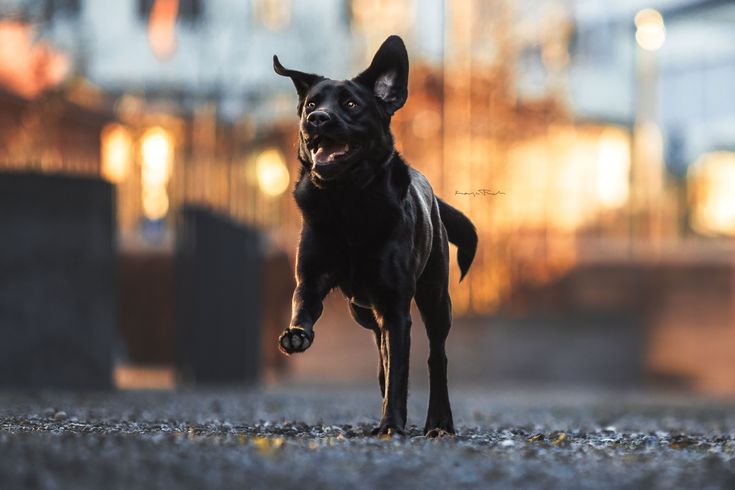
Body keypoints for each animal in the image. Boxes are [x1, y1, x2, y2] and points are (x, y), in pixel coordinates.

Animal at [274, 35, 478, 436]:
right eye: (311, 104)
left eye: (351, 104)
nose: (316, 120)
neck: (347, 202)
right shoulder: (311, 279)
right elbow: (303, 305)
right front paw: (297, 333)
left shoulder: (395, 305)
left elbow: (400, 369)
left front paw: (390, 424)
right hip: (362, 311)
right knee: (383, 357)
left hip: (435, 300)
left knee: (436, 357)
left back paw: (439, 421)